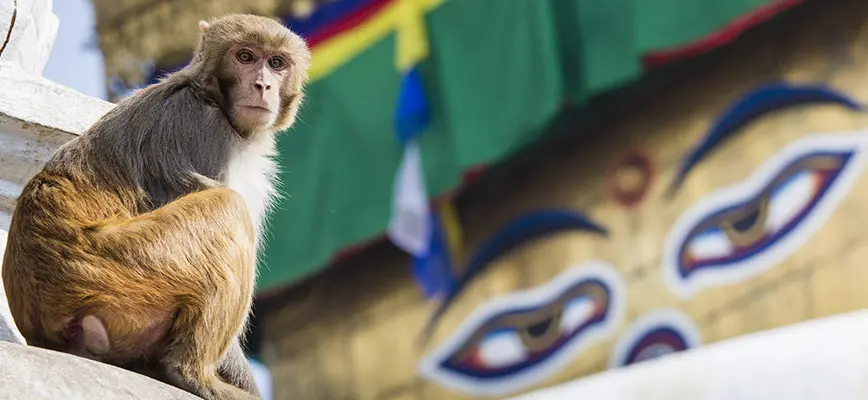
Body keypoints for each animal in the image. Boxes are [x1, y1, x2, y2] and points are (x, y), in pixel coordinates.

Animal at [1, 14, 310, 400]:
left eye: (277, 63)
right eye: (245, 57)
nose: (262, 85)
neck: (209, 95)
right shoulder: (202, 130)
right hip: (120, 269)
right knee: (228, 207)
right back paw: (192, 374)